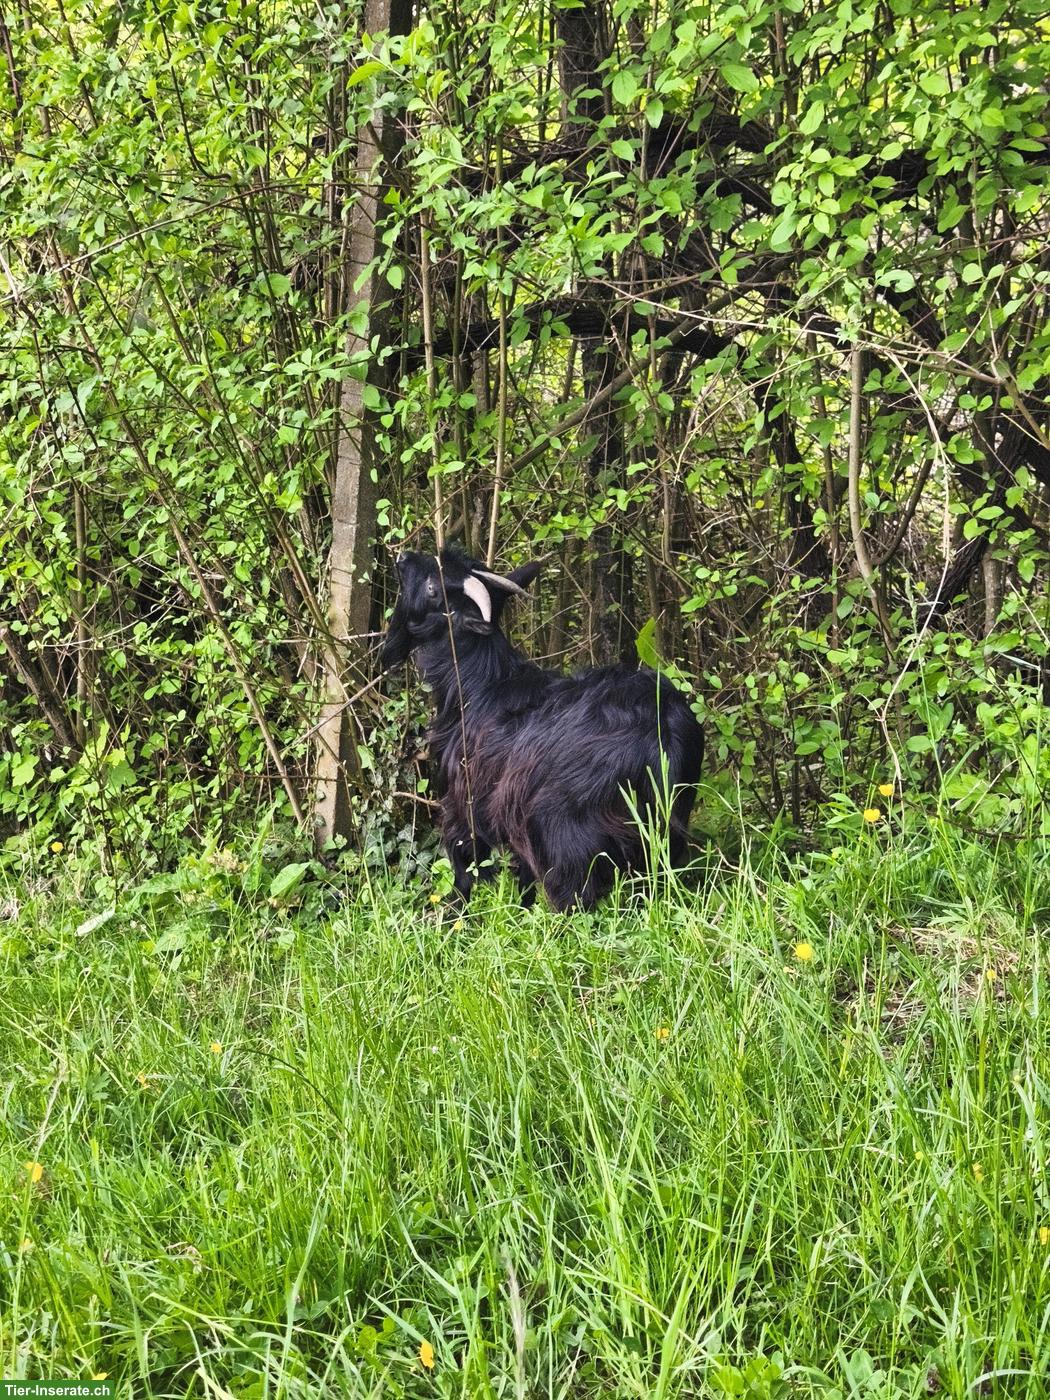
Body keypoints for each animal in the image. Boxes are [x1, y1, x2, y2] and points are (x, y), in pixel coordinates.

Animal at [382, 548, 703, 911]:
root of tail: (664, 727)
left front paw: (454, 910)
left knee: (575, 890)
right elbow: (522, 871)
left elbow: (465, 859)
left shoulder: (467, 797)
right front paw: (521, 907)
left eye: (433, 587)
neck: (479, 685)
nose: (403, 556)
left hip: (561, 820)